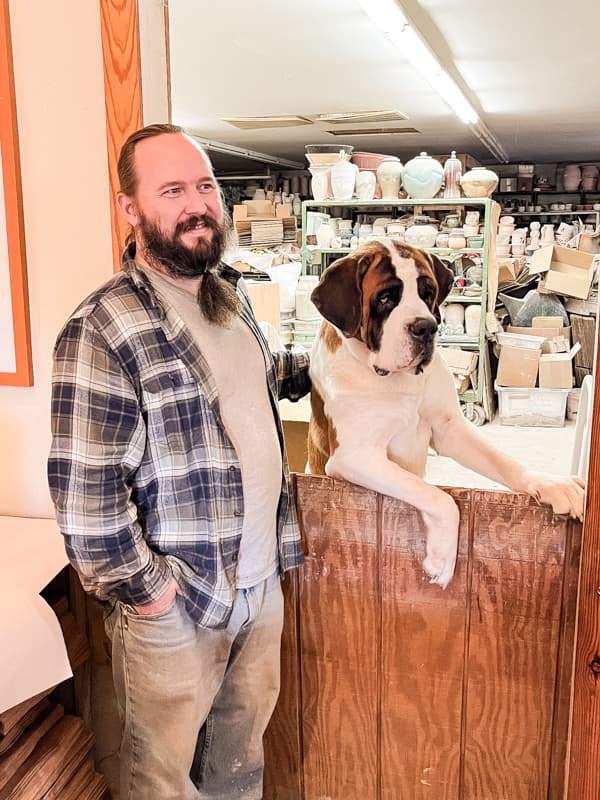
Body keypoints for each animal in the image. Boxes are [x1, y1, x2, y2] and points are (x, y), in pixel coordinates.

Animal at [308, 238, 584, 588]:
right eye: (386, 298)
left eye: (427, 293)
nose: (426, 328)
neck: (395, 381)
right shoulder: (354, 457)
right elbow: (439, 497)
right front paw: (441, 559)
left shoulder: (450, 428)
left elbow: (502, 461)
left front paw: (550, 484)